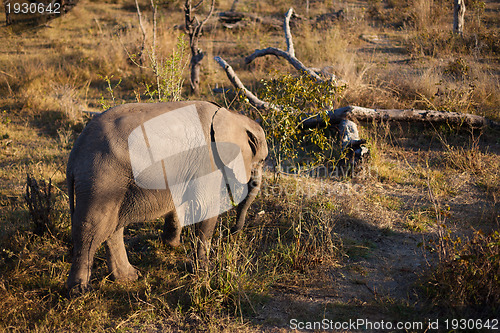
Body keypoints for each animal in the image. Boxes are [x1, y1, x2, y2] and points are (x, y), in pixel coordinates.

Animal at [67, 101, 270, 294]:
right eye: (261, 160)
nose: (231, 232)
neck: (231, 116)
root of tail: (75, 154)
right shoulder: (208, 160)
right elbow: (205, 207)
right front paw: (205, 270)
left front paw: (172, 245)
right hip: (102, 177)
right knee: (93, 226)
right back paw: (79, 291)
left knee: (113, 226)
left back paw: (129, 277)